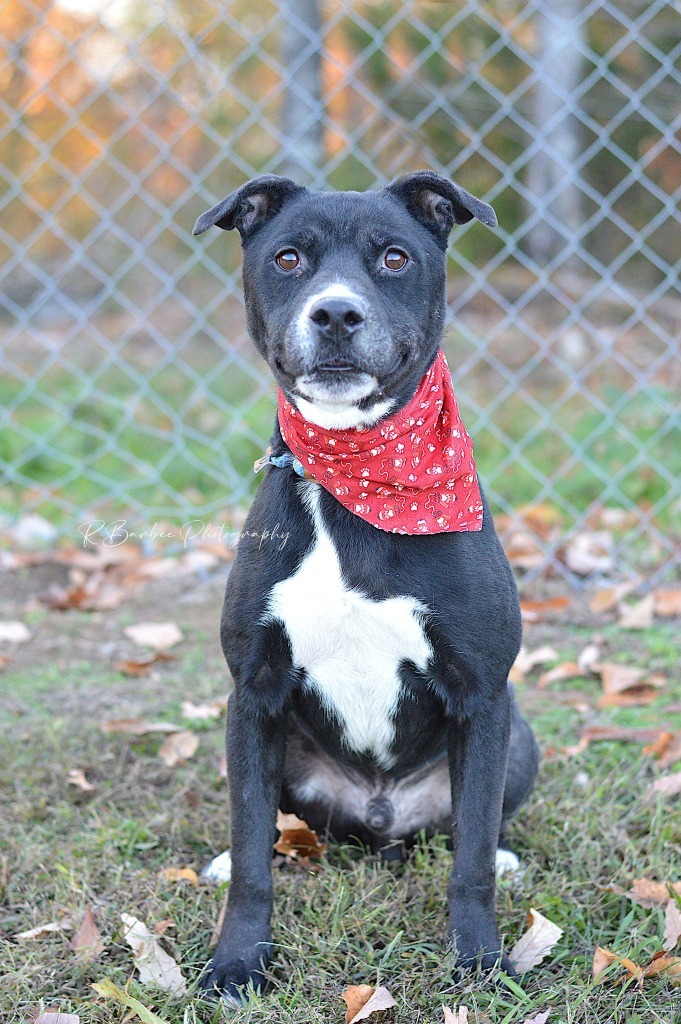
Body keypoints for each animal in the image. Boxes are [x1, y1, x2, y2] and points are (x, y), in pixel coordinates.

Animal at [193, 174, 540, 999]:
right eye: (288, 257)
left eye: (393, 258)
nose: (336, 313)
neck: (361, 478)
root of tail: (380, 819)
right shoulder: (252, 692)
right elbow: (251, 856)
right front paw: (237, 961)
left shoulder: (481, 694)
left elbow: (469, 860)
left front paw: (479, 962)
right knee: (273, 826)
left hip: (516, 735)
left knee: (473, 827)